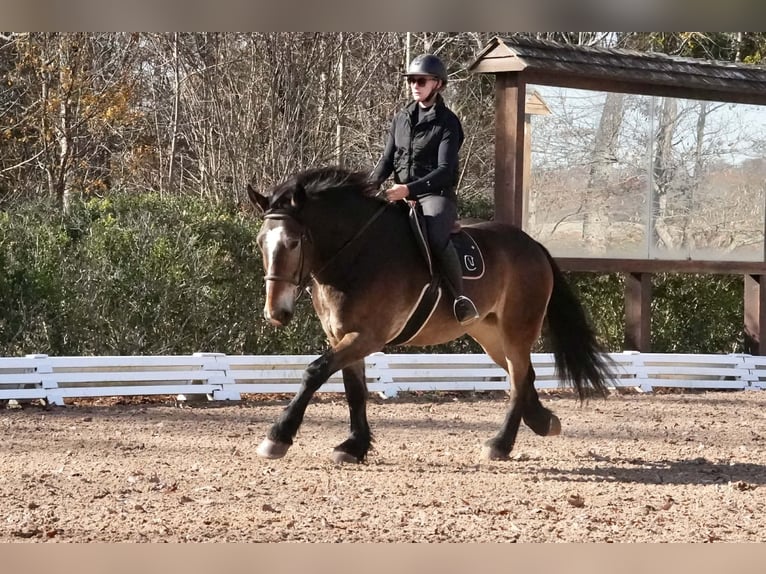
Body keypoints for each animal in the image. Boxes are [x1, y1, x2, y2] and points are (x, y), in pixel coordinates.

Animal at [247, 166, 614, 464]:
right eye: (260, 242)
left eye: (294, 242)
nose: (275, 313)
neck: (355, 254)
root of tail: (532, 244)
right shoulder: (341, 335)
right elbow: (354, 390)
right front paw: (354, 446)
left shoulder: (366, 336)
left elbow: (314, 372)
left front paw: (277, 437)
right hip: (489, 334)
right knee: (522, 375)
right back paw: (542, 422)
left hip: (517, 329)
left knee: (520, 378)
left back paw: (500, 444)